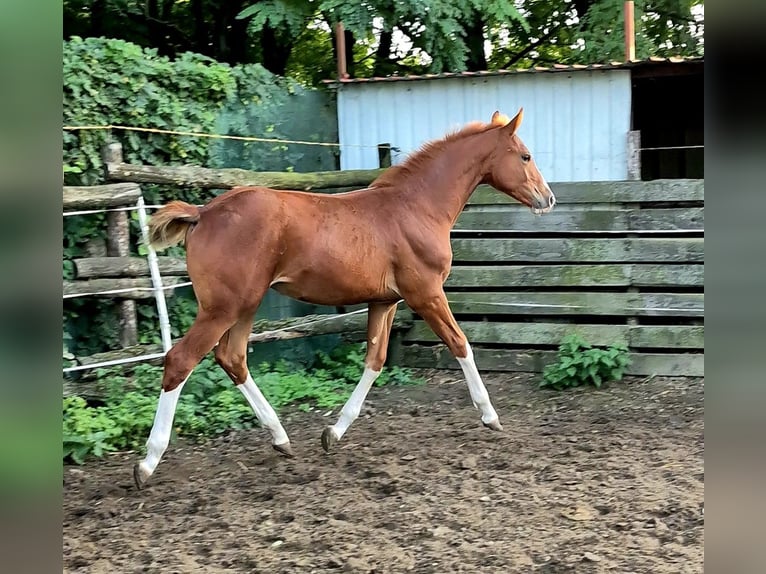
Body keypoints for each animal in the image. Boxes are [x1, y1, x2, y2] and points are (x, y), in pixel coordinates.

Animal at [134, 108, 555, 489]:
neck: (416, 206)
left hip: (245, 306)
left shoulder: (385, 301)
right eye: (525, 155)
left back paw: (281, 438)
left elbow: (375, 359)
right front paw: (490, 416)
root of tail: (203, 212)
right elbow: (460, 343)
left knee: (232, 358)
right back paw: (148, 463)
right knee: (181, 360)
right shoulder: (425, 293)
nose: (547, 199)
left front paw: (333, 433)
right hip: (224, 307)